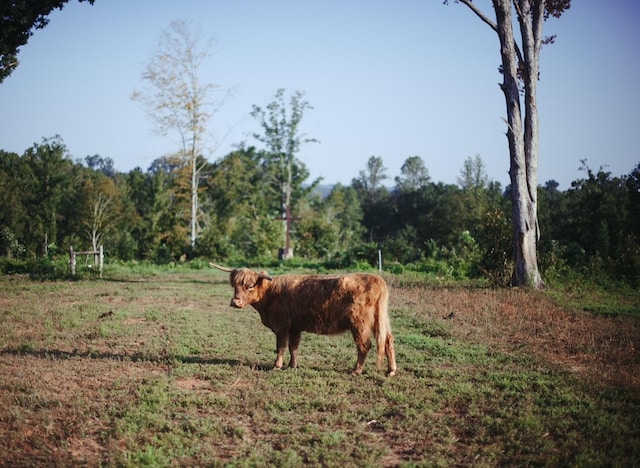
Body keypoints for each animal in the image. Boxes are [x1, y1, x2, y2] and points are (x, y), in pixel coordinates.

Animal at [212, 264, 398, 376]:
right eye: (234, 286)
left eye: (250, 286)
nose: (235, 302)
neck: (270, 294)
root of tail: (376, 279)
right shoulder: (295, 327)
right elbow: (293, 347)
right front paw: (292, 366)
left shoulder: (282, 326)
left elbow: (281, 347)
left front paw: (277, 365)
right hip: (380, 321)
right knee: (388, 340)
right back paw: (391, 371)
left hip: (359, 324)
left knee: (364, 345)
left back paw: (356, 371)